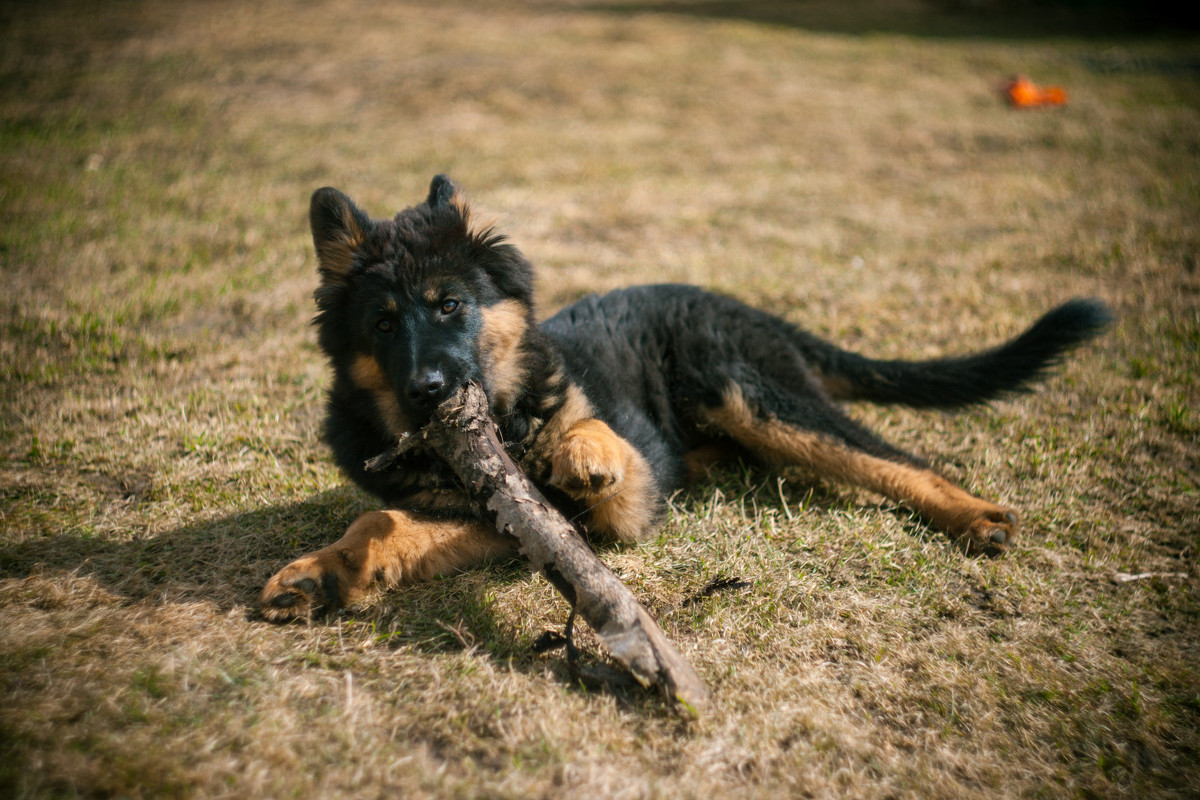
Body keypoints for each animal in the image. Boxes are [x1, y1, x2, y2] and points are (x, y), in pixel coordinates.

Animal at [258, 175, 1108, 618]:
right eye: (383, 323)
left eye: (449, 306)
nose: (428, 393)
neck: (503, 418)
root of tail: (736, 302)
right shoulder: (504, 517)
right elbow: (385, 519)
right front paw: (325, 571)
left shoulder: (623, 500)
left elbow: (607, 444)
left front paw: (584, 449)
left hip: (752, 396)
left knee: (898, 459)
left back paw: (975, 516)